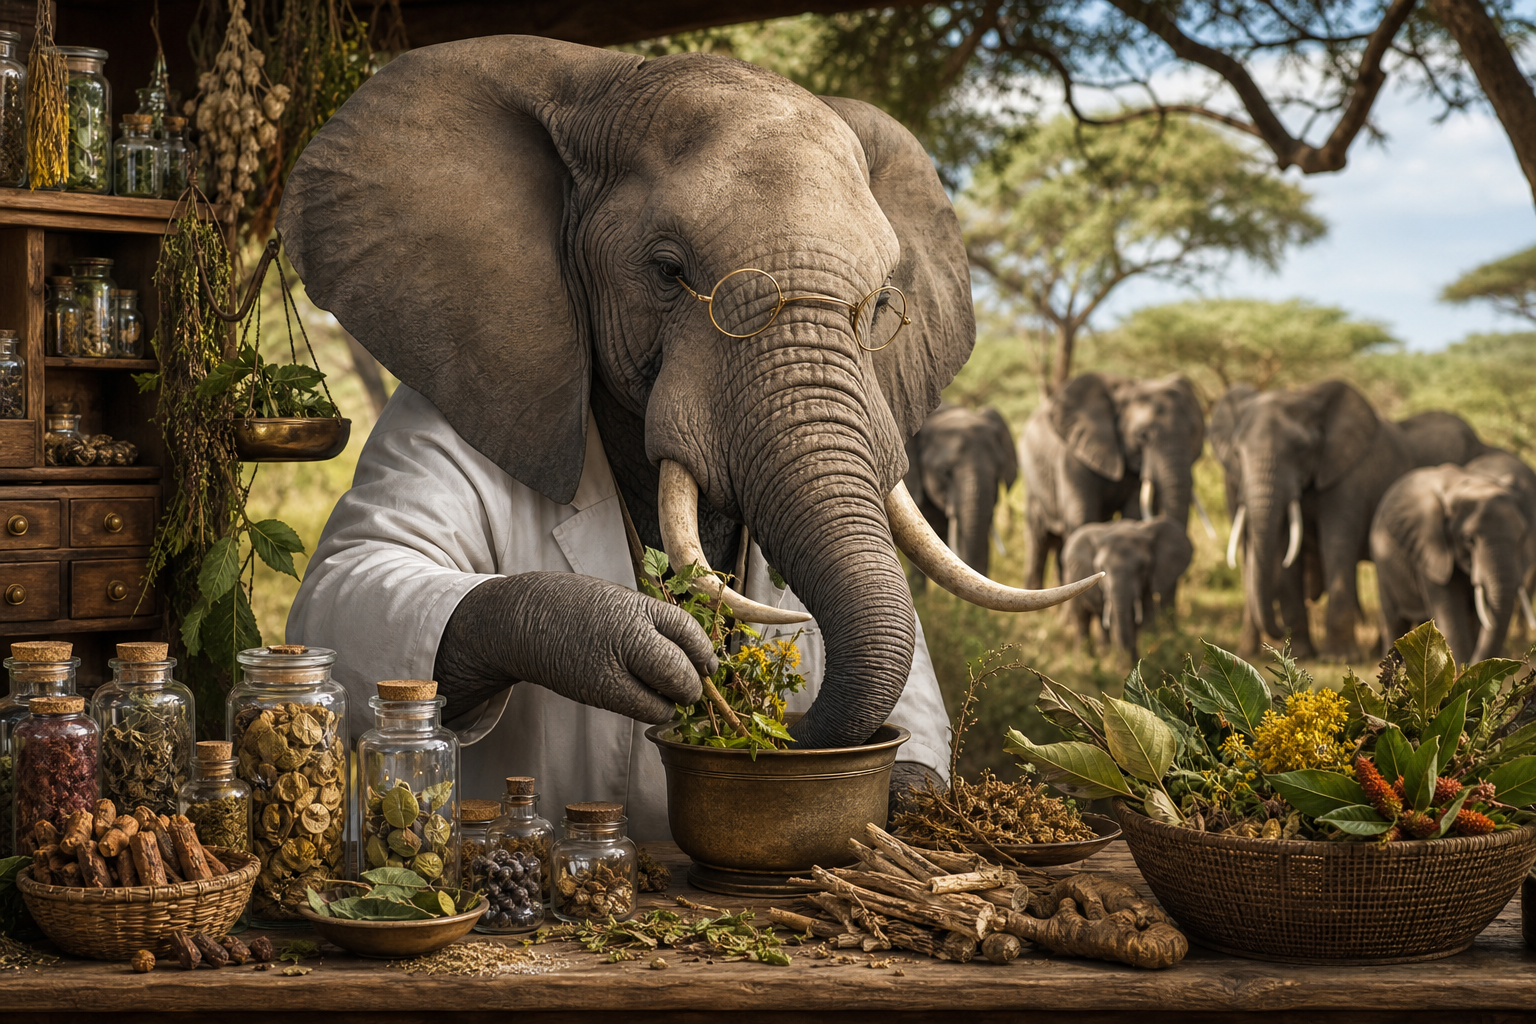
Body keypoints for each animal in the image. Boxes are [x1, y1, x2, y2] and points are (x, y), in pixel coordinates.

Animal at [1020, 373, 1206, 591]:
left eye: (1195, 433)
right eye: (1142, 435)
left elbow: (1134, 514)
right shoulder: (1072, 457)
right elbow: (1082, 516)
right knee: (1039, 539)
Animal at [1061, 518, 1193, 656]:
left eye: (1142, 567)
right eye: (1100, 567)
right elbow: (1116, 620)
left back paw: (1104, 652)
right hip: (1070, 578)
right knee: (1081, 618)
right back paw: (1085, 657)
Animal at [1209, 381, 1489, 659]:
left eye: (1301, 448)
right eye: (1237, 452)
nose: (1279, 632)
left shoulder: (1350, 475)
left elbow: (1336, 545)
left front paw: (1338, 657)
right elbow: (1288, 552)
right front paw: (1301, 654)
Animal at [1371, 464, 1531, 663]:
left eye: (1522, 536)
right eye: (1467, 539)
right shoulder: (1431, 551)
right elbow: (1451, 612)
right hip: (1381, 559)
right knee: (1394, 620)